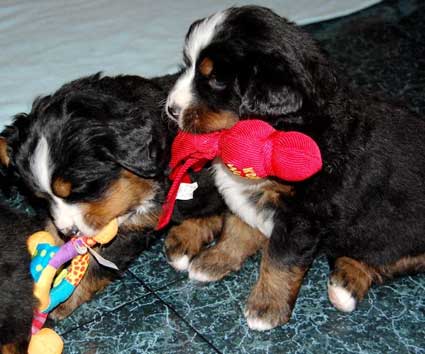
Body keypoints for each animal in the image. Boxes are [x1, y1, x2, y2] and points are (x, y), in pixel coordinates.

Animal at [162, 5, 424, 330]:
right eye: (188, 65)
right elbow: (237, 229)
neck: (279, 128)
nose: (171, 109)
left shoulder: (303, 213)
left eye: (217, 80)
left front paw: (266, 306)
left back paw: (346, 284)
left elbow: (280, 259)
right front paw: (216, 259)